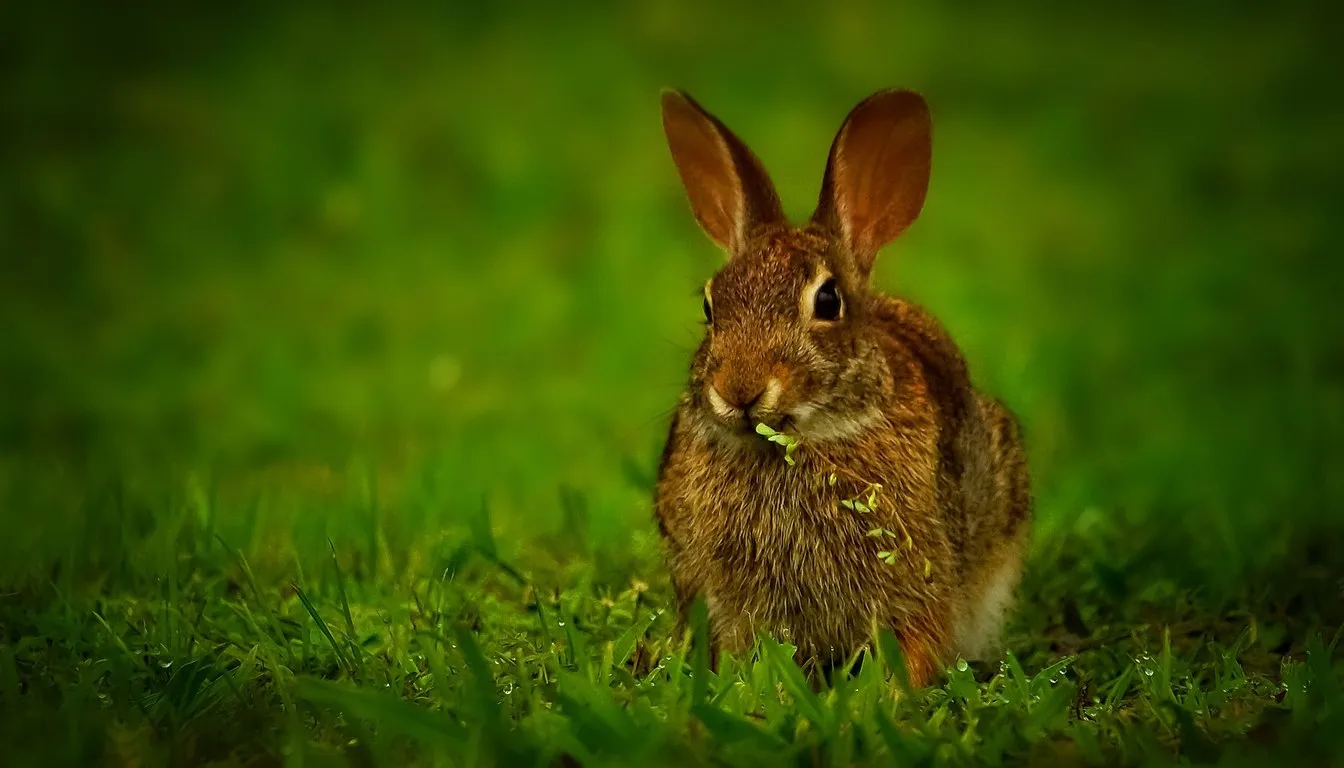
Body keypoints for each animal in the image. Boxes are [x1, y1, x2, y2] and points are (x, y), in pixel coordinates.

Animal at [652, 88, 1032, 687]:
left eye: (828, 301)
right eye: (710, 306)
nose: (738, 391)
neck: (796, 441)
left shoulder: (918, 586)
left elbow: (918, 644)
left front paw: (893, 696)